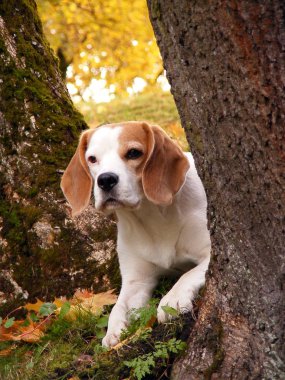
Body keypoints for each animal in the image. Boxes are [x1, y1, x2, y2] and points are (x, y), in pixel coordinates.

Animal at [60, 121, 211, 348]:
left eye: (133, 153)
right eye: (92, 159)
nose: (105, 180)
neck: (151, 218)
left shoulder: (212, 253)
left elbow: (189, 274)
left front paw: (173, 298)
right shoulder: (136, 280)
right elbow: (117, 308)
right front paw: (113, 332)